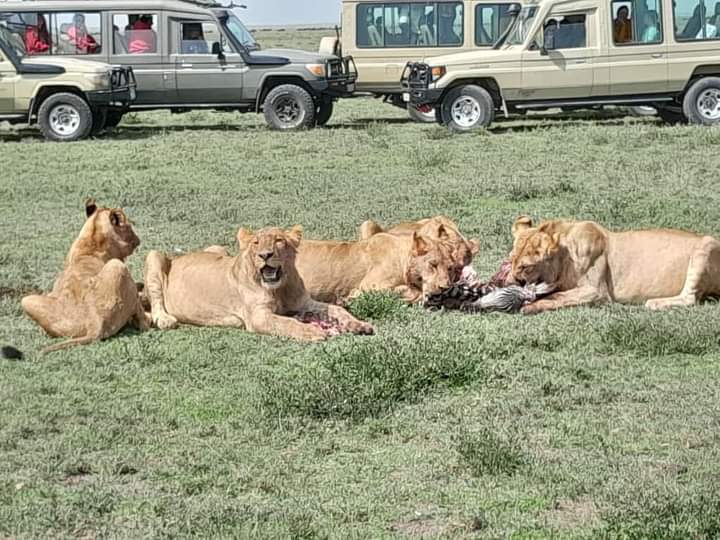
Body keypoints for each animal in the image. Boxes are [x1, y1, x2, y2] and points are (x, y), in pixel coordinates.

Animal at [21, 199, 149, 353]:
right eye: (129, 226)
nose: (138, 239)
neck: (92, 242)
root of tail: (95, 324)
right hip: (117, 265)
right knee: (142, 321)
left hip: (26, 300)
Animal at [144, 226, 373, 341]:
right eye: (256, 243)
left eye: (279, 240)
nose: (265, 255)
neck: (279, 289)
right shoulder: (258, 316)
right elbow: (286, 322)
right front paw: (312, 332)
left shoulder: (304, 303)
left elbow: (337, 309)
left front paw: (359, 324)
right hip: (154, 256)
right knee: (156, 302)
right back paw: (165, 319)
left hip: (219, 248)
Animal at [507, 216, 720, 314]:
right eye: (511, 261)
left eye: (525, 267)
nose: (508, 283)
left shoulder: (597, 291)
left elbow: (559, 297)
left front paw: (529, 306)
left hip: (706, 246)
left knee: (690, 298)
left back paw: (655, 303)